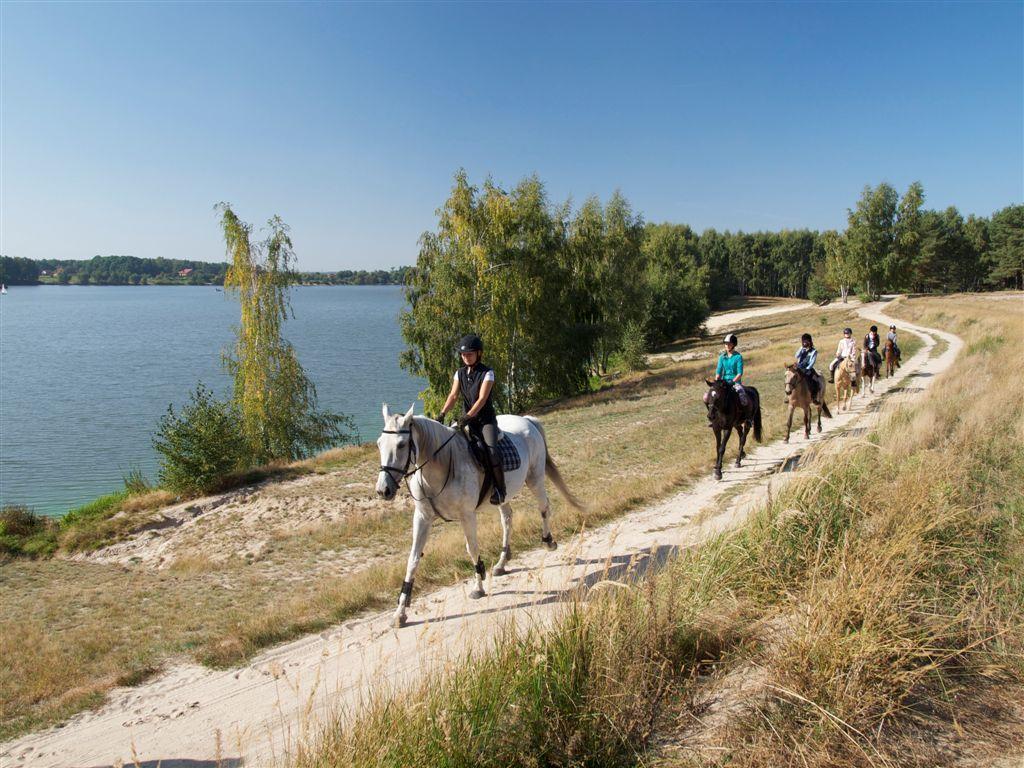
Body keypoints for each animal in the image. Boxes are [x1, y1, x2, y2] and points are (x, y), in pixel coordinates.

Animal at [376, 405, 585, 626]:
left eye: (401, 444)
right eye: (379, 444)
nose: (383, 490)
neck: (442, 465)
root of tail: (528, 420)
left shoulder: (467, 515)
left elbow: (472, 549)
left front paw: (478, 586)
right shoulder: (422, 517)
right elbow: (413, 559)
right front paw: (400, 612)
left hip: (535, 479)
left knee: (544, 508)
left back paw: (548, 541)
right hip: (504, 495)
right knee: (507, 519)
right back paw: (502, 563)